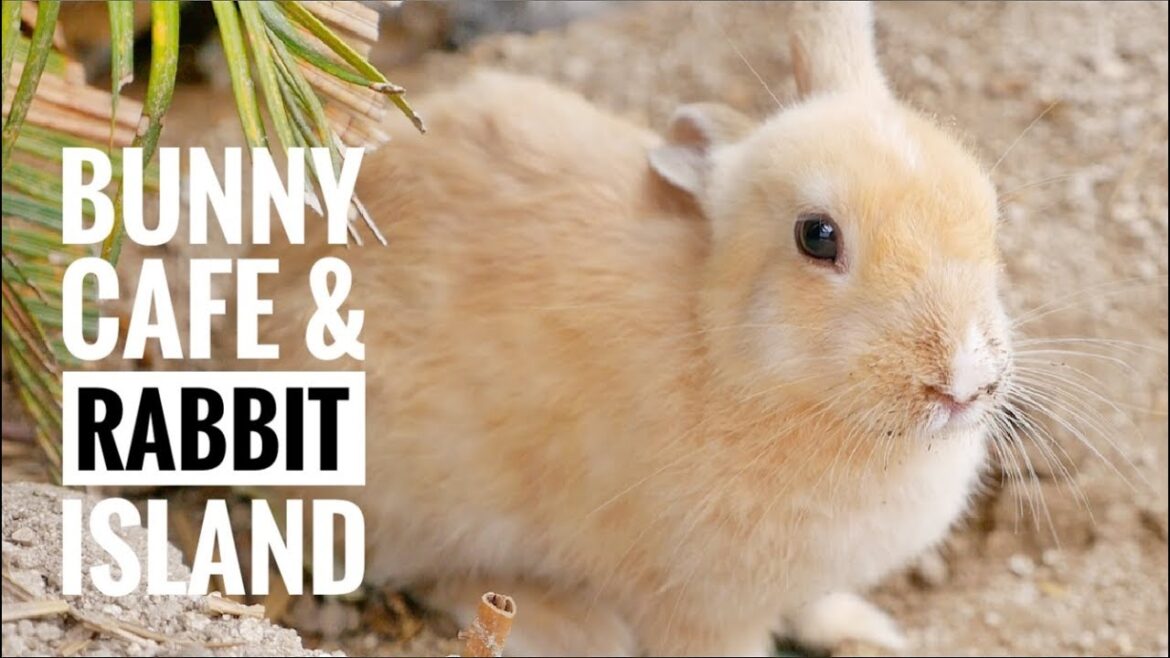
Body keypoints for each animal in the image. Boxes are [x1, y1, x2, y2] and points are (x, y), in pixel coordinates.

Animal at [248, 1, 1013, 655]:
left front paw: (868, 630)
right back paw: (575, 629)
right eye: (817, 237)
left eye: (988, 206)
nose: (965, 380)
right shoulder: (699, 612)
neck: (733, 359)